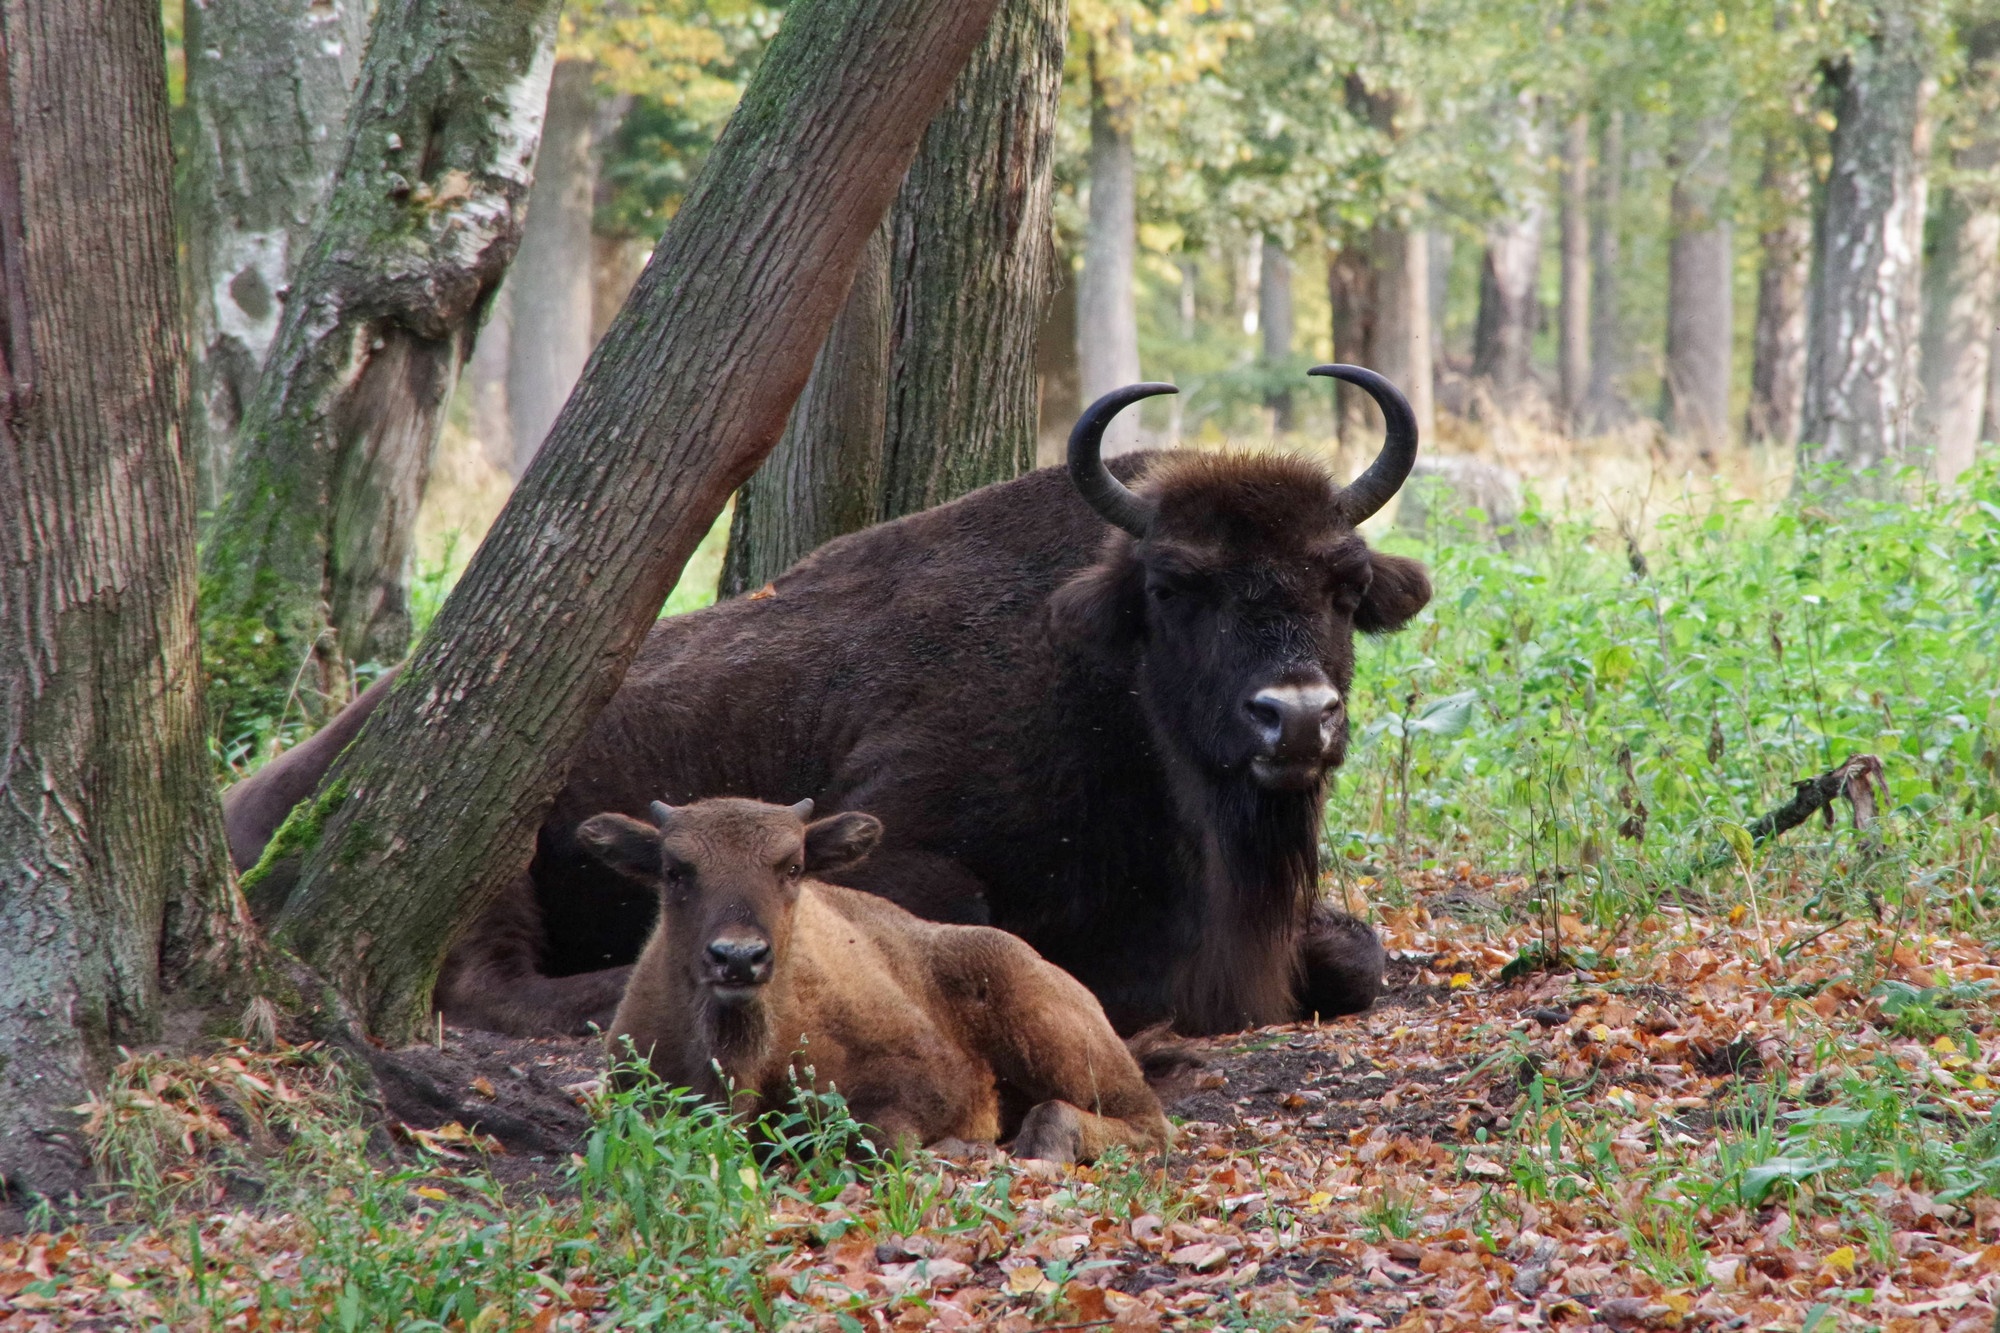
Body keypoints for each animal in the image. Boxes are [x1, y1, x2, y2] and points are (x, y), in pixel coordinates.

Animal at [227, 366, 1432, 1040]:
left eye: (1341, 582)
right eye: (1177, 586)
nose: (1295, 716)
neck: (1114, 676)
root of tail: (262, 797)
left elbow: (1356, 957)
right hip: (490, 842)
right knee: (491, 986)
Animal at [580, 792, 1168, 1160]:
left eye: (793, 867)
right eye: (674, 871)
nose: (738, 957)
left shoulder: (924, 1081)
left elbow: (877, 1136)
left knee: (1147, 1121)